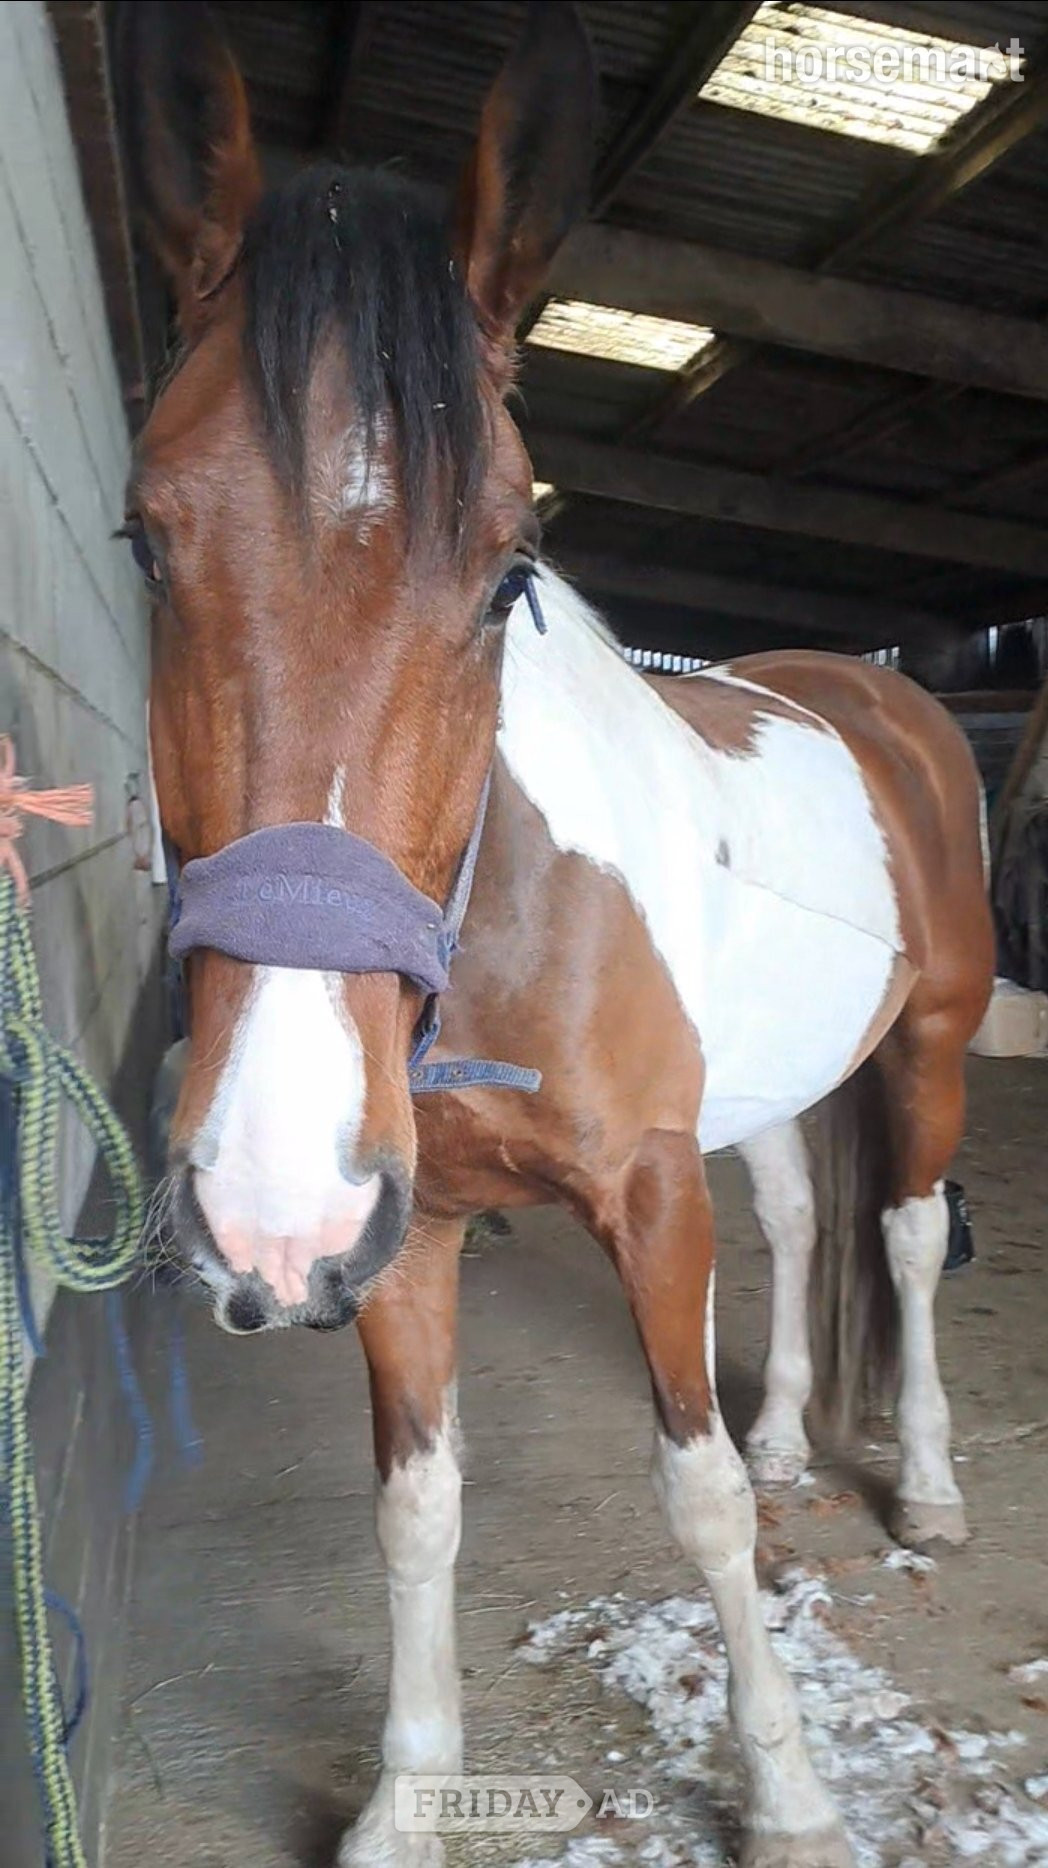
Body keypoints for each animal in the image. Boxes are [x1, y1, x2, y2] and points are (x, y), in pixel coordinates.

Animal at [122, 6, 994, 1865]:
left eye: (508, 564)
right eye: (146, 541)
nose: (263, 1202)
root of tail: (874, 690)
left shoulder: (648, 1194)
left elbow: (697, 1495)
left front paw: (787, 1793)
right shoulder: (406, 1235)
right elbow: (416, 1506)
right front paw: (404, 1800)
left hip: (935, 1042)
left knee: (896, 1234)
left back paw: (931, 1488)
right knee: (801, 1215)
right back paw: (805, 1432)